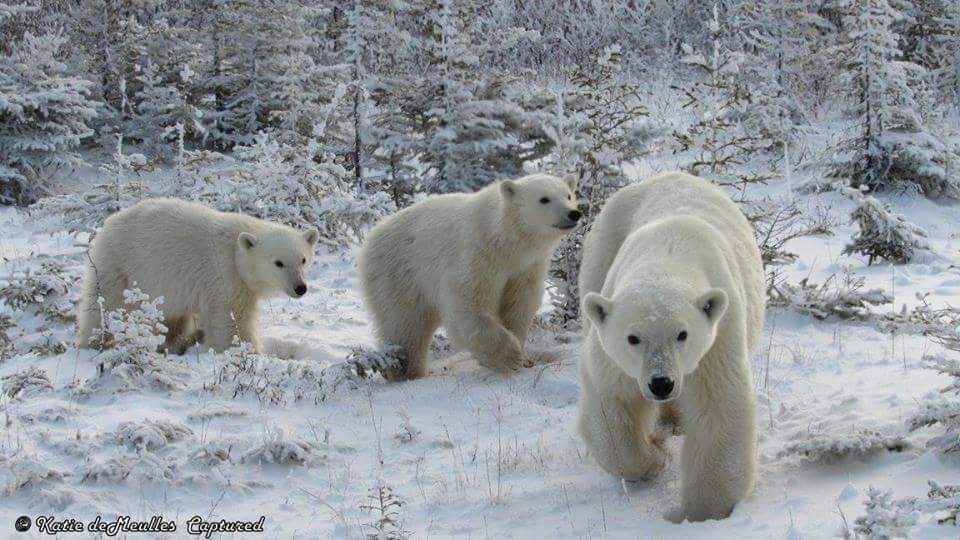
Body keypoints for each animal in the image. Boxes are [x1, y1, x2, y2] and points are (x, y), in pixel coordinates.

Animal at [76, 198, 319, 354]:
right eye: (278, 263)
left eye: (303, 259)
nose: (300, 287)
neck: (236, 250)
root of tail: (108, 223)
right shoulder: (224, 275)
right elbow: (232, 318)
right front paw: (245, 350)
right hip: (119, 264)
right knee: (105, 304)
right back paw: (95, 340)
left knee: (173, 317)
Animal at [358, 173, 581, 380]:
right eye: (544, 199)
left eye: (568, 195)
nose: (574, 213)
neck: (504, 239)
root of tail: (370, 239)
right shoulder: (477, 254)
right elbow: (469, 303)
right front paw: (510, 356)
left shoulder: (526, 267)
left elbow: (519, 303)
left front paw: (522, 352)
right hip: (399, 273)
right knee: (406, 325)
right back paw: (406, 371)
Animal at [576, 171, 764, 522]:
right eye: (633, 338)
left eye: (682, 334)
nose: (661, 383)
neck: (668, 253)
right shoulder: (613, 357)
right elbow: (612, 400)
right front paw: (655, 458)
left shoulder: (717, 337)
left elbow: (718, 406)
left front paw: (705, 511)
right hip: (600, 254)